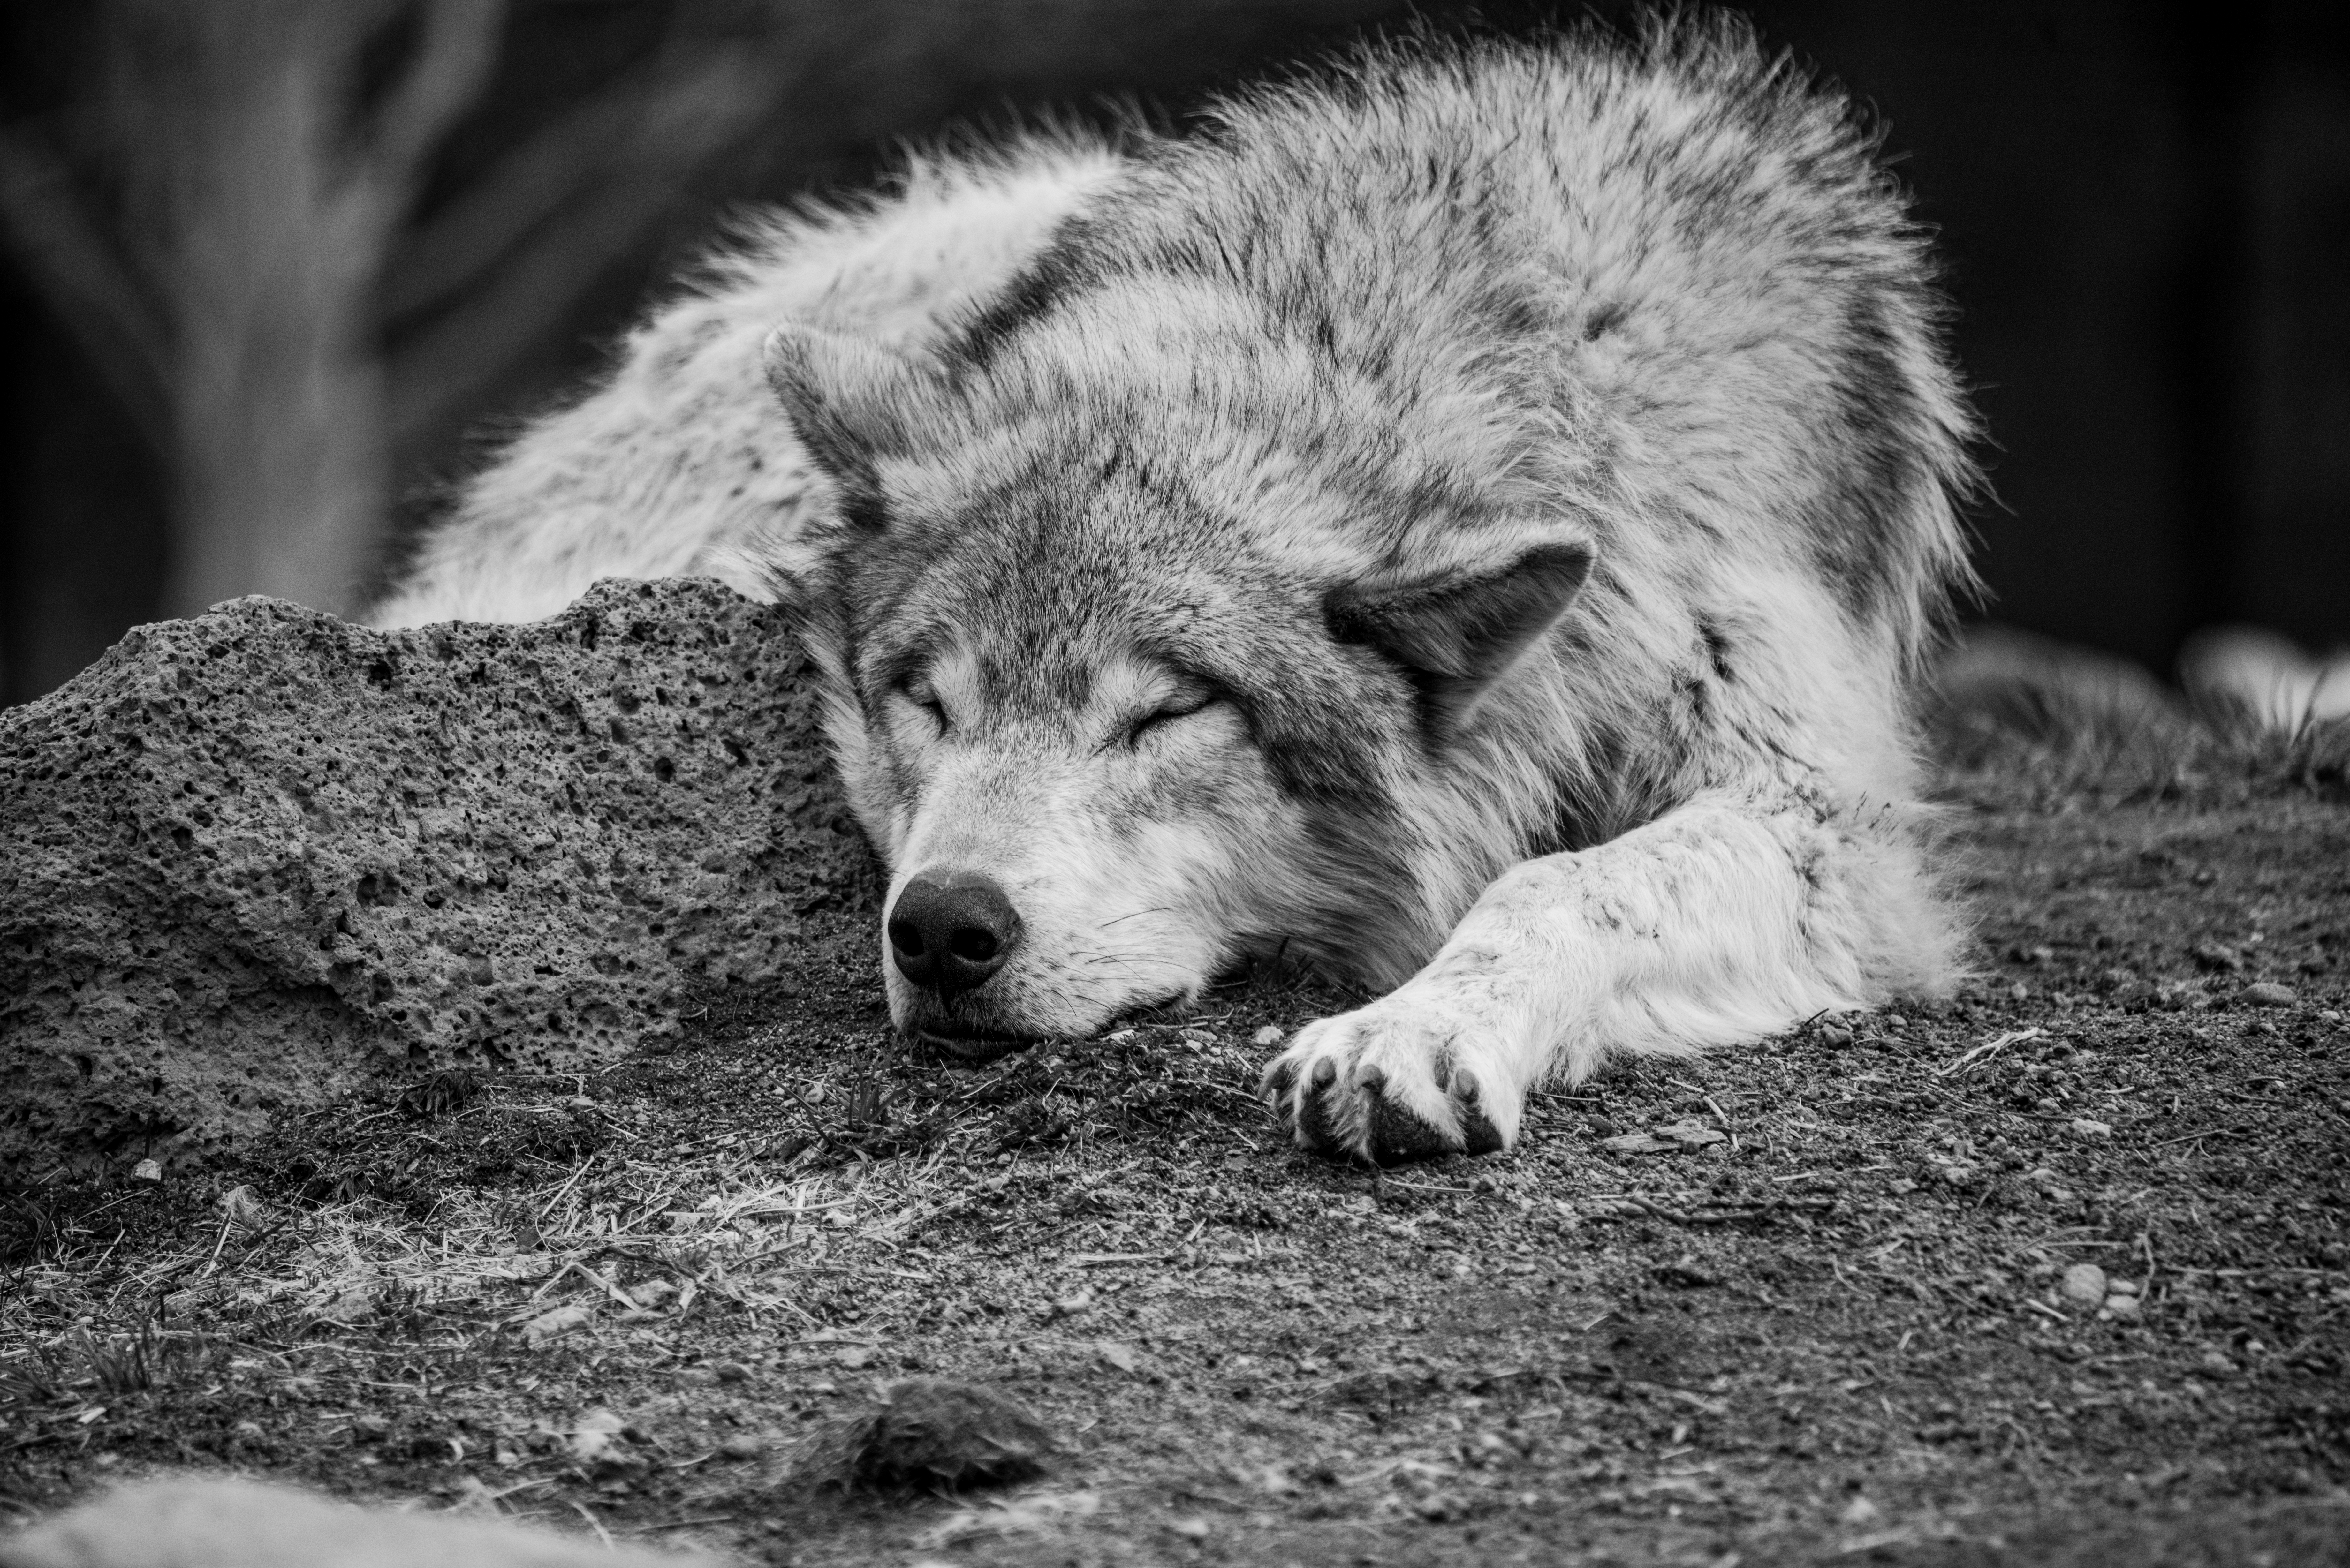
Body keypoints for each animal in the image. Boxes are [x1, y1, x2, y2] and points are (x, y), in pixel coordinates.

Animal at [378, 17, 1980, 1165]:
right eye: (925, 700)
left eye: (1164, 716)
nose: (940, 929)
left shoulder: (1829, 827)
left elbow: (1560, 879)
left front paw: (1409, 1031)